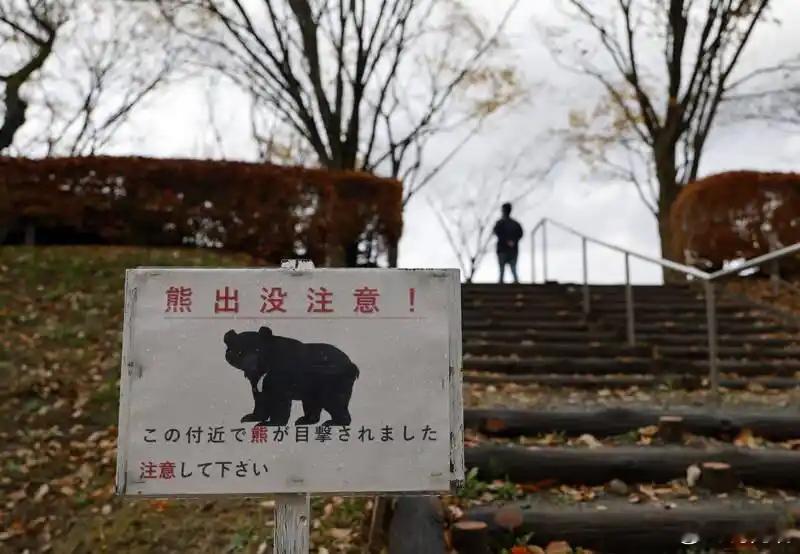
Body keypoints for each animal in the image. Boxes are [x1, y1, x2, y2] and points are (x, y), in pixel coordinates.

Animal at [223, 326, 359, 427]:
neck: (265, 368)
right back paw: (304, 420)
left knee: (335, 402)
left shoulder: (281, 376)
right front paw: (250, 417)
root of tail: (352, 365)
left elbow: (279, 400)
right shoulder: (257, 381)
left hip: (332, 382)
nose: (250, 364)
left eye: (258, 350)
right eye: (239, 352)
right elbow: (260, 397)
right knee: (312, 403)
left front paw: (270, 423)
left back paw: (333, 422)